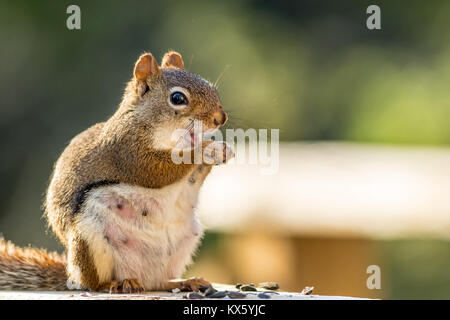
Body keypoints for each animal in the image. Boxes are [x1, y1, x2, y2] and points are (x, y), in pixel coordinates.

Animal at [0, 50, 236, 292]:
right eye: (178, 98)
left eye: (212, 88)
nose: (220, 119)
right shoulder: (127, 151)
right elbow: (159, 170)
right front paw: (206, 149)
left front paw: (222, 150)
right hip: (89, 239)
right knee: (94, 283)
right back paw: (118, 283)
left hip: (186, 242)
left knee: (161, 282)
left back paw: (186, 281)